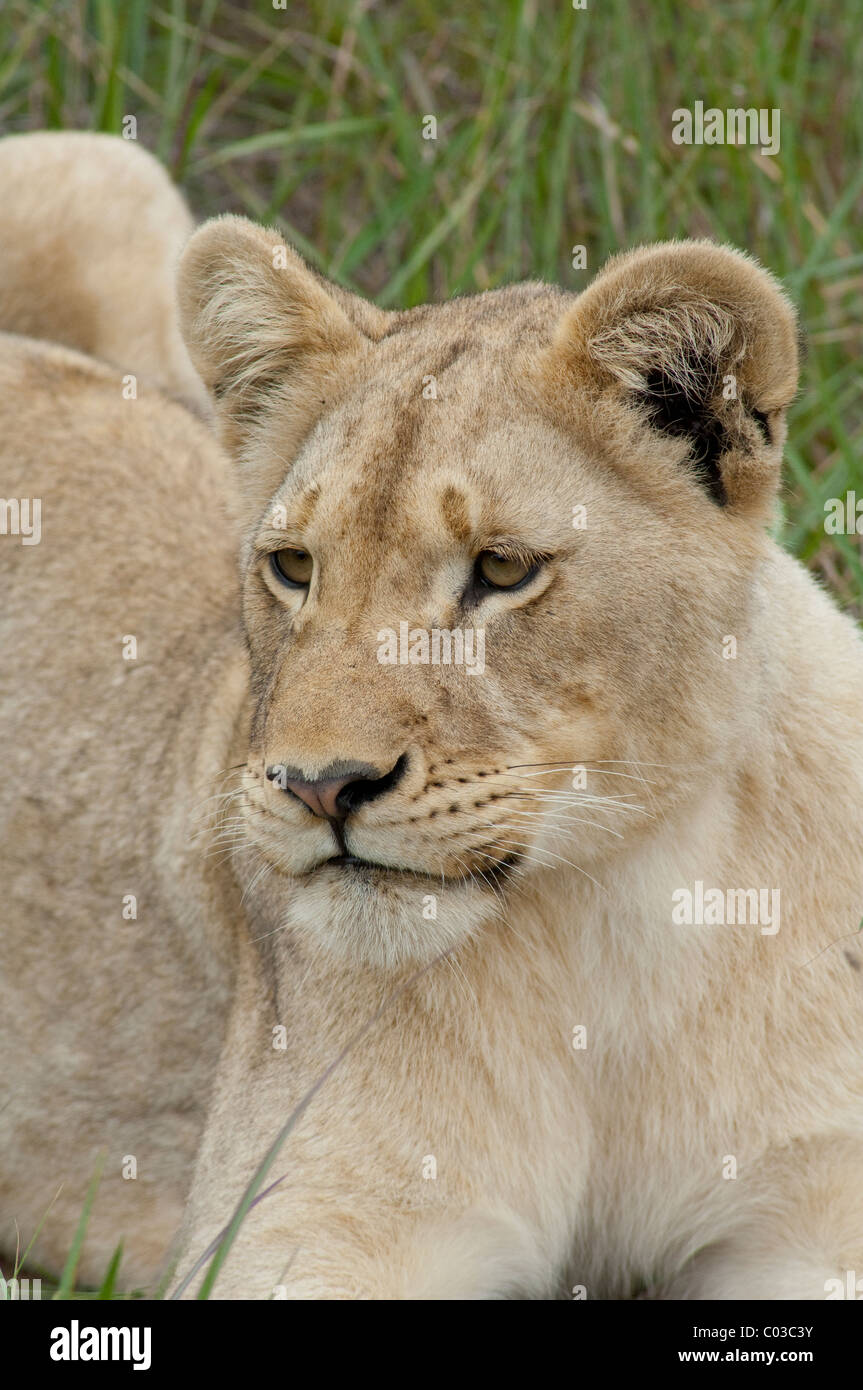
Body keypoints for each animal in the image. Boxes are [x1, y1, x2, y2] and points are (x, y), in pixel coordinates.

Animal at [0, 135, 856, 1295]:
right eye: (292, 567)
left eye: (500, 569)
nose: (321, 786)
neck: (613, 917)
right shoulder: (297, 1221)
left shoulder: (818, 1202)